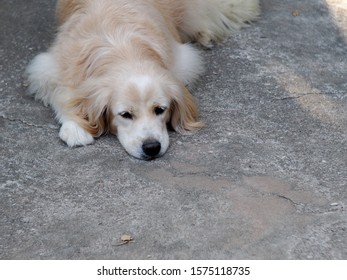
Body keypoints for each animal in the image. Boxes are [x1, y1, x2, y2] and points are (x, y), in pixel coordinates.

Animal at [26, 0, 260, 160]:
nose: (151, 147)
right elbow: (63, 96)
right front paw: (75, 127)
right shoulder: (47, 68)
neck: (125, 50)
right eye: (125, 115)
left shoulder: (183, 62)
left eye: (160, 110)